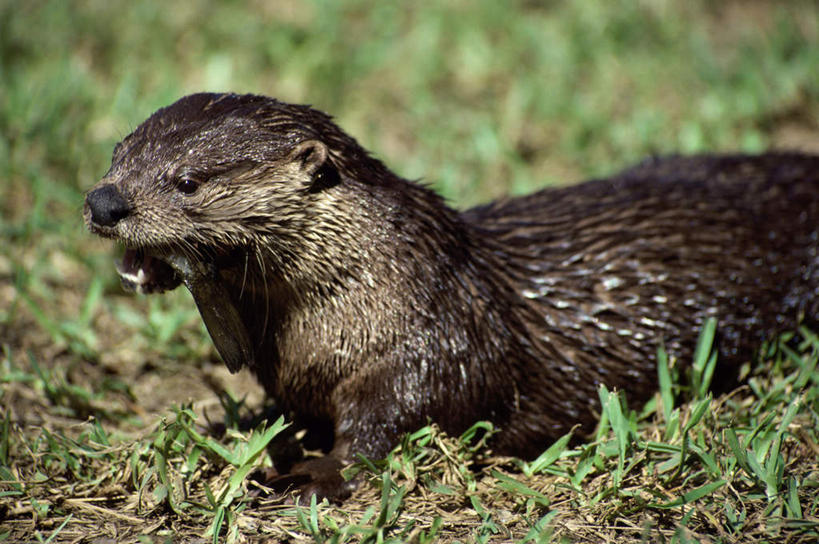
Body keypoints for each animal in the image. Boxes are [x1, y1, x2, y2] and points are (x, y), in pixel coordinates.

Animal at [85, 93, 819, 502]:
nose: (104, 202)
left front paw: (315, 476)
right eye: (118, 154)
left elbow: (397, 416)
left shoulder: (432, 344)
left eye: (188, 181)